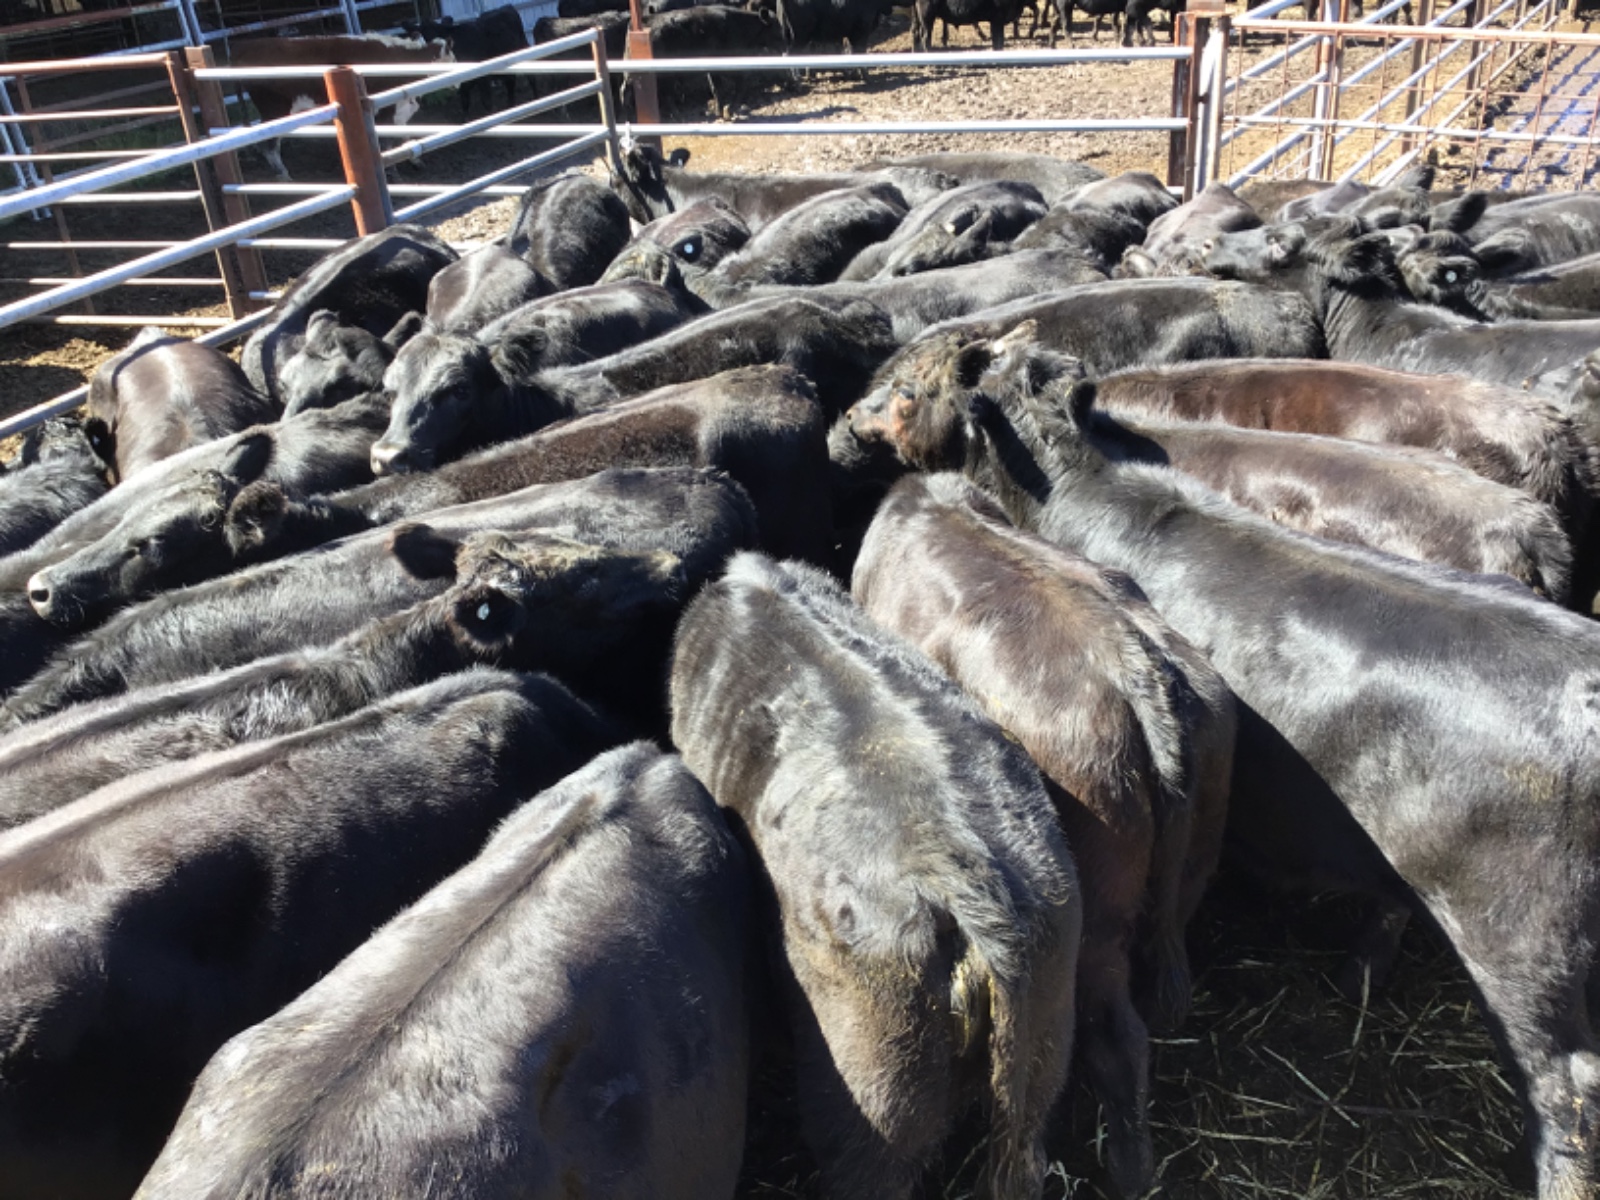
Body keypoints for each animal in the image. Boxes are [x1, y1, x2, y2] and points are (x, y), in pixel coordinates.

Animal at [227, 35, 454, 181]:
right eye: (451, 60)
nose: (456, 84)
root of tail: (243, 46)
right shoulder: (389, 110)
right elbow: (389, 140)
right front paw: (393, 171)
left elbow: (403, 134)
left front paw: (415, 161)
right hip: (275, 110)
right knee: (268, 144)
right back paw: (283, 174)